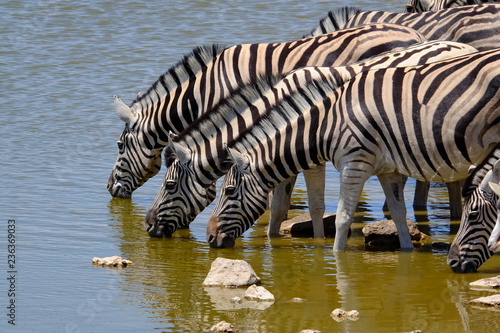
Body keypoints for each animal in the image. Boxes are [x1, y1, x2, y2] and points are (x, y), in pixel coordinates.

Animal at [205, 48, 500, 248]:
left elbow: (342, 218)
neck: (325, 126)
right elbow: (399, 214)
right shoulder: (388, 170)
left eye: (228, 191)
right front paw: (406, 253)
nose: (208, 237)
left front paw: (335, 259)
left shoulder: (353, 164)